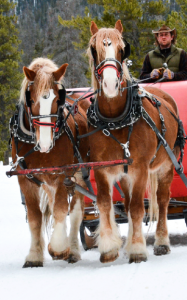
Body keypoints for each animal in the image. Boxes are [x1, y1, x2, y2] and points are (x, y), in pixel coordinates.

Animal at [10, 56, 90, 268]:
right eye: (31, 100)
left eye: (57, 100)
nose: (45, 143)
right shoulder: (26, 179)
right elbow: (35, 218)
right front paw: (34, 256)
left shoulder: (63, 174)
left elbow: (62, 210)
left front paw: (59, 248)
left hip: (79, 173)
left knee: (76, 211)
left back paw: (73, 250)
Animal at [87, 20, 181, 262]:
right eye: (94, 50)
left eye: (123, 49)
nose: (111, 84)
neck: (116, 119)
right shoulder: (103, 168)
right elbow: (106, 204)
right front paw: (109, 248)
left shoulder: (140, 168)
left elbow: (139, 207)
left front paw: (138, 250)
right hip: (124, 174)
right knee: (128, 204)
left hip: (168, 164)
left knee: (163, 200)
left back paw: (161, 242)